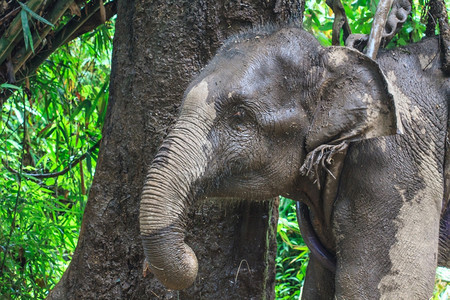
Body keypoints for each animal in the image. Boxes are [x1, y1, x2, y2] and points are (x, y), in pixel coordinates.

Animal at [139, 26, 448, 300]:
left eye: (239, 116)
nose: (190, 255)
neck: (333, 60)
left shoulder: (396, 167)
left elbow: (387, 289)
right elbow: (318, 286)